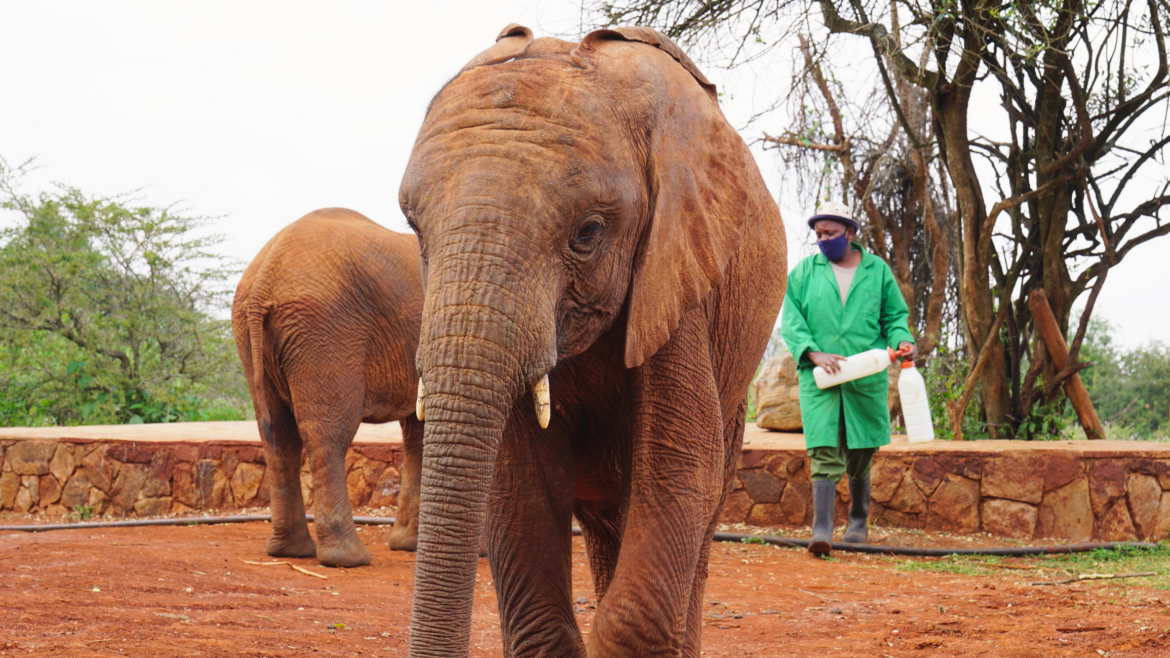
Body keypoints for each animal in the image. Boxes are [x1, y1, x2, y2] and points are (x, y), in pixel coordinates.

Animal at [230, 207, 423, 566]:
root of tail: (264, 277)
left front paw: (408, 545)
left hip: (252, 334)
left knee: (279, 436)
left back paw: (291, 551)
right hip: (325, 328)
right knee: (328, 434)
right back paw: (347, 558)